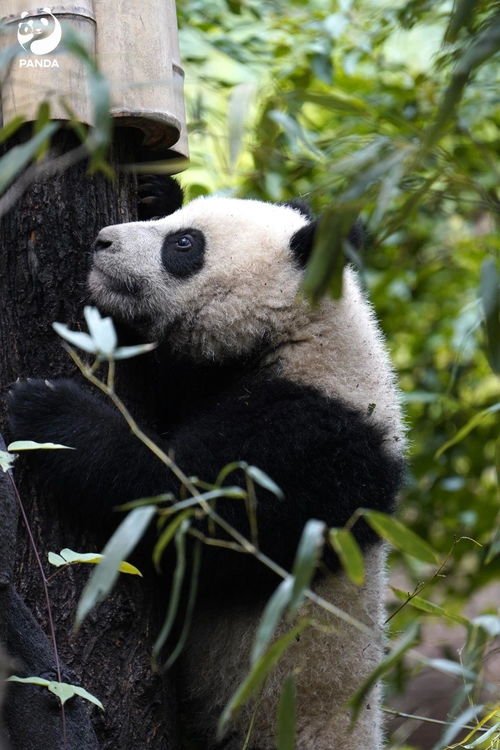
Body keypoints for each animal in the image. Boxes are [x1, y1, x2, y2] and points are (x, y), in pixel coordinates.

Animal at [6, 187, 406, 750]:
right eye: (174, 220)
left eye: (184, 244)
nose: (102, 242)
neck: (303, 334)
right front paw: (155, 190)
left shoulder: (311, 442)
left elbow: (187, 507)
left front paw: (50, 412)